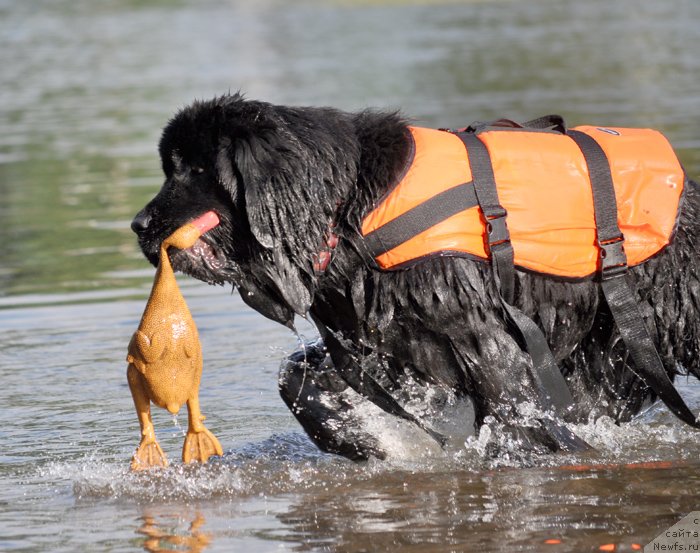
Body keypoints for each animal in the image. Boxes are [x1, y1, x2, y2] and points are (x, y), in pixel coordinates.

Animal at [133, 96, 700, 462]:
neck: (349, 207)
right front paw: (359, 441)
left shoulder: (473, 326)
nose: (139, 225)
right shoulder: (382, 336)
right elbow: (295, 374)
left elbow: (513, 407)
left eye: (195, 170)